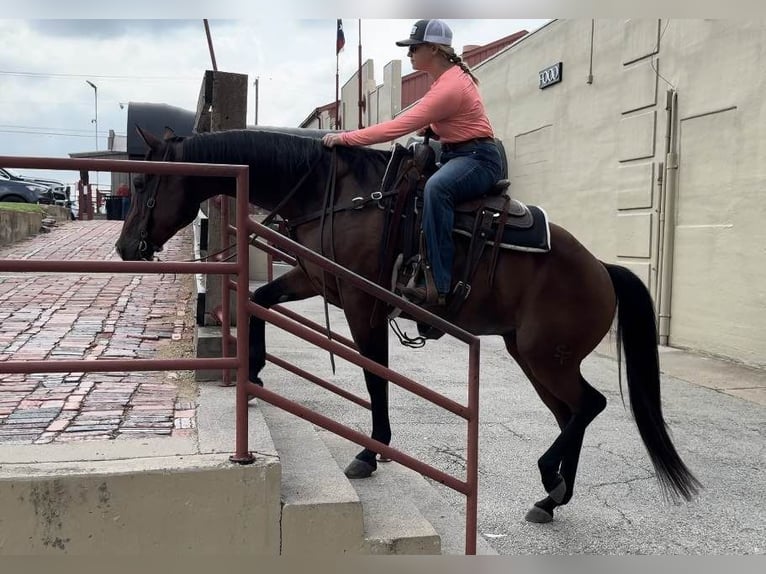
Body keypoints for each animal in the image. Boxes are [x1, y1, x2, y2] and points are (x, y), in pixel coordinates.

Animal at [115, 128, 704, 524]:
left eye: (145, 183)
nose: (124, 248)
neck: (332, 194)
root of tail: (601, 268)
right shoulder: (315, 281)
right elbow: (261, 299)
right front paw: (254, 370)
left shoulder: (361, 304)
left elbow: (375, 374)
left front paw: (370, 451)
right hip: (532, 356)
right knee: (572, 413)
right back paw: (552, 496)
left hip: (546, 356)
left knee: (589, 405)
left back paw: (548, 481)